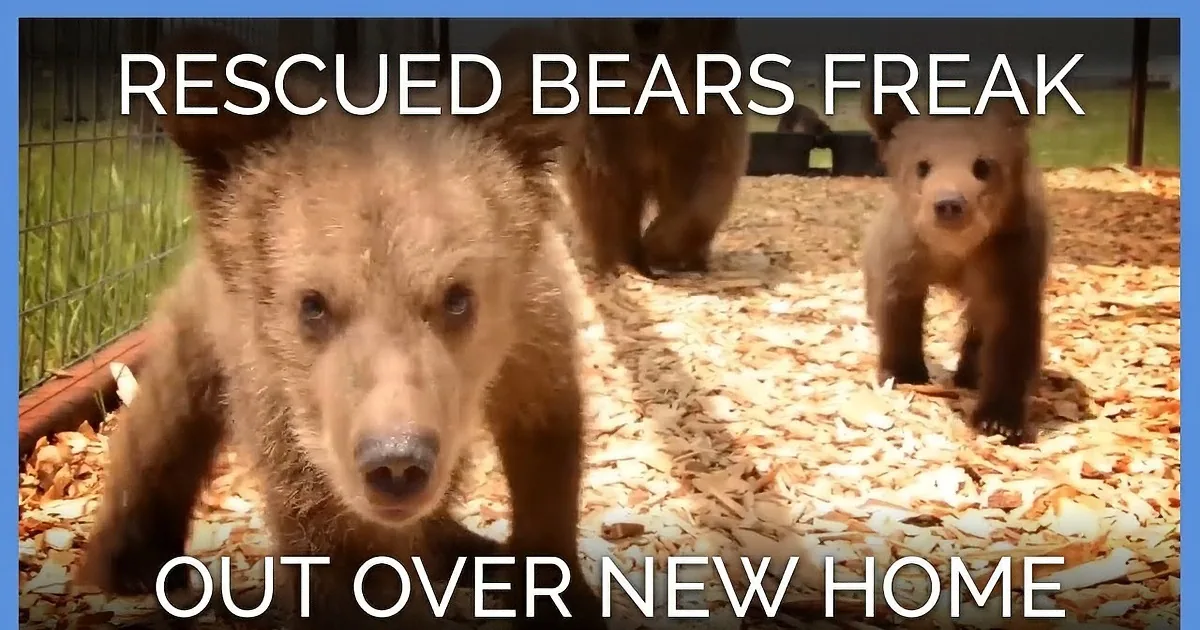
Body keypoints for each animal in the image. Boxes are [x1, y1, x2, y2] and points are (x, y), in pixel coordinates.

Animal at [80, 26, 605, 630]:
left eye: (457, 297)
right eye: (313, 304)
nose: (396, 461)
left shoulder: (531, 329)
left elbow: (544, 441)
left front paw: (557, 594)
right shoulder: (294, 407)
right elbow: (340, 542)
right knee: (167, 413)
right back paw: (129, 561)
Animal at [499, 19, 749, 278]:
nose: (647, 27)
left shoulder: (705, 108)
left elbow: (708, 179)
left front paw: (660, 247)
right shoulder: (603, 119)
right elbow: (606, 188)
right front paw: (624, 261)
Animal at [859, 78, 1051, 446]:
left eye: (983, 165)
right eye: (922, 165)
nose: (949, 203)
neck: (953, 255)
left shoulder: (1008, 264)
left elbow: (1010, 334)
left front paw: (999, 420)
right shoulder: (903, 254)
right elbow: (896, 307)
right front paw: (905, 371)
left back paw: (969, 375)